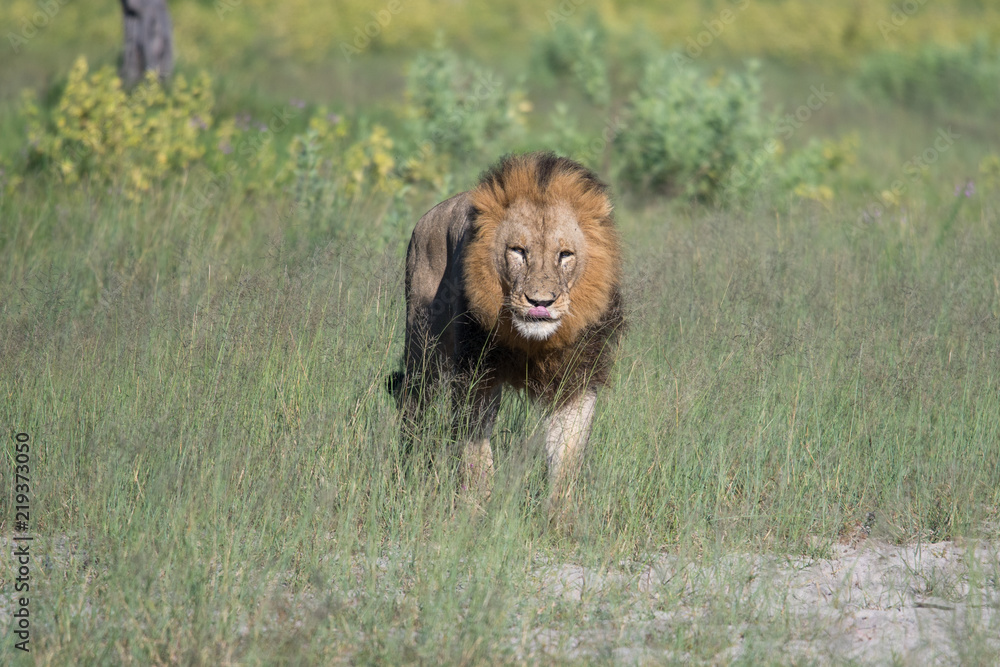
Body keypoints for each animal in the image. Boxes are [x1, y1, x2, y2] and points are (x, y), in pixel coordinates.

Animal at [393, 151, 624, 512]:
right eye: (518, 251)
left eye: (565, 255)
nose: (540, 302)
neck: (532, 342)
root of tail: (427, 217)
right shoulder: (476, 374)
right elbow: (475, 449)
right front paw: (477, 507)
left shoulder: (575, 378)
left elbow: (567, 454)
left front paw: (560, 515)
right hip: (423, 350)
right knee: (415, 403)